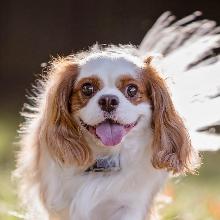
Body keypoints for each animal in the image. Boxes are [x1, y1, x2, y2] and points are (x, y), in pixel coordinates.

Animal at [14, 45, 199, 220]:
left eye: (132, 90)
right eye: (87, 88)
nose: (108, 100)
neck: (104, 159)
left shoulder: (131, 206)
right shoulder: (62, 207)